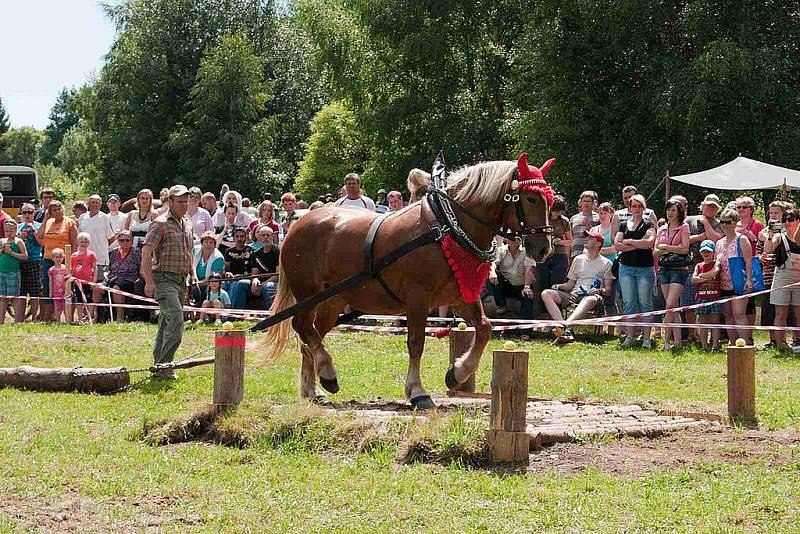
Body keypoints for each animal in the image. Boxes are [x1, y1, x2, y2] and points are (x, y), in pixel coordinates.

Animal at [266, 157, 552, 408]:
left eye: (551, 201)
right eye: (531, 198)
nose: (544, 249)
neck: (446, 227)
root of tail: (299, 223)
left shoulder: (460, 296)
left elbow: (484, 329)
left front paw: (457, 373)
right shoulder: (417, 298)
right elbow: (416, 342)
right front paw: (417, 391)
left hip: (331, 300)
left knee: (311, 335)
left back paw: (313, 388)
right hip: (307, 292)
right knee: (302, 326)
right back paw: (327, 373)